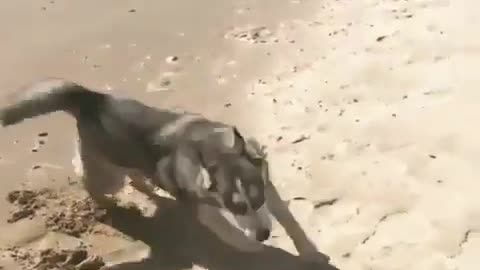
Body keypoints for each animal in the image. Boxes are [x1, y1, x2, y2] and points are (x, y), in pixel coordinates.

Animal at [0, 78, 326, 262]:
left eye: (255, 201)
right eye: (237, 207)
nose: (262, 234)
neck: (212, 147)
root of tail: (94, 98)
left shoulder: (265, 181)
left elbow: (289, 219)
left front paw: (309, 251)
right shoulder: (198, 200)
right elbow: (224, 228)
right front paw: (248, 246)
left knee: (136, 172)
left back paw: (146, 186)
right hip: (107, 175)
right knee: (90, 179)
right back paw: (105, 201)